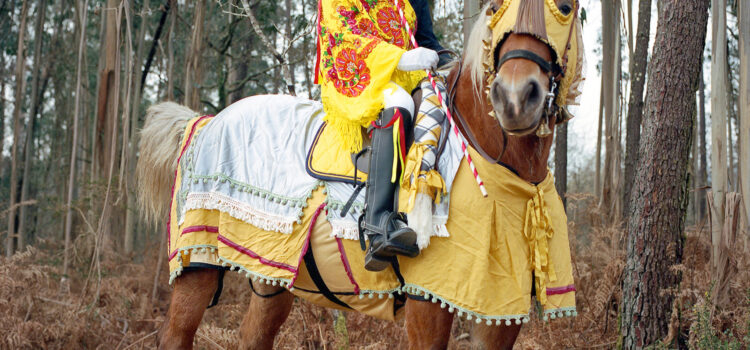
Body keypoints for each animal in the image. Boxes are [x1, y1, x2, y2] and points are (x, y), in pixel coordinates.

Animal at [140, 1, 588, 348]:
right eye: (494, 9)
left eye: (565, 7)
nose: (515, 98)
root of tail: (206, 122)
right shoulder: (429, 302)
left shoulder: (498, 311)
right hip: (198, 262)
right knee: (176, 336)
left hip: (271, 270)